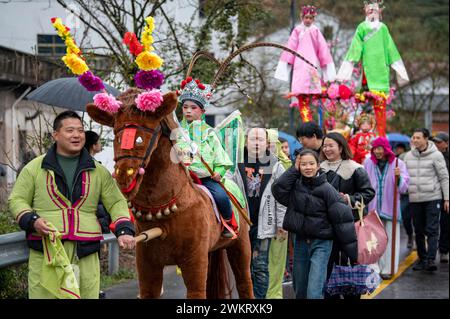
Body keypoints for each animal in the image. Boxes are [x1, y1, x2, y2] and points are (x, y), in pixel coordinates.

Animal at [87, 88, 253, 300]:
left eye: (141, 137)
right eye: (116, 135)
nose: (123, 176)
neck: (164, 209)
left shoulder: (194, 261)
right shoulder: (147, 263)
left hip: (240, 245)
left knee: (244, 282)